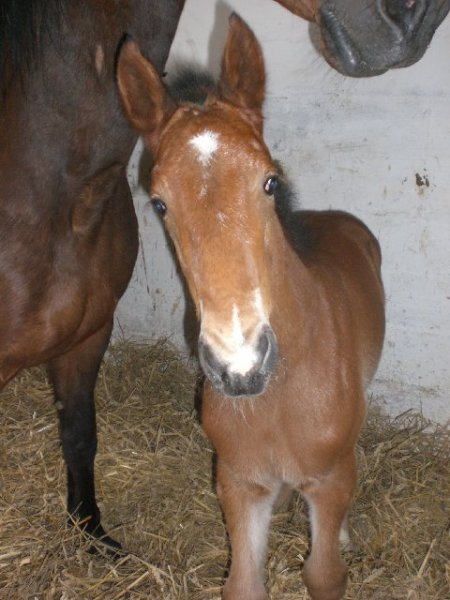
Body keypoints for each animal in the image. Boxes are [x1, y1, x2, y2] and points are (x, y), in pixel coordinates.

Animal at [116, 14, 384, 600]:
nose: (240, 366)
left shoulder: (329, 479)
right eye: (159, 203)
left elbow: (324, 573)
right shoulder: (236, 481)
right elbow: (242, 583)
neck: (277, 398)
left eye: (269, 181)